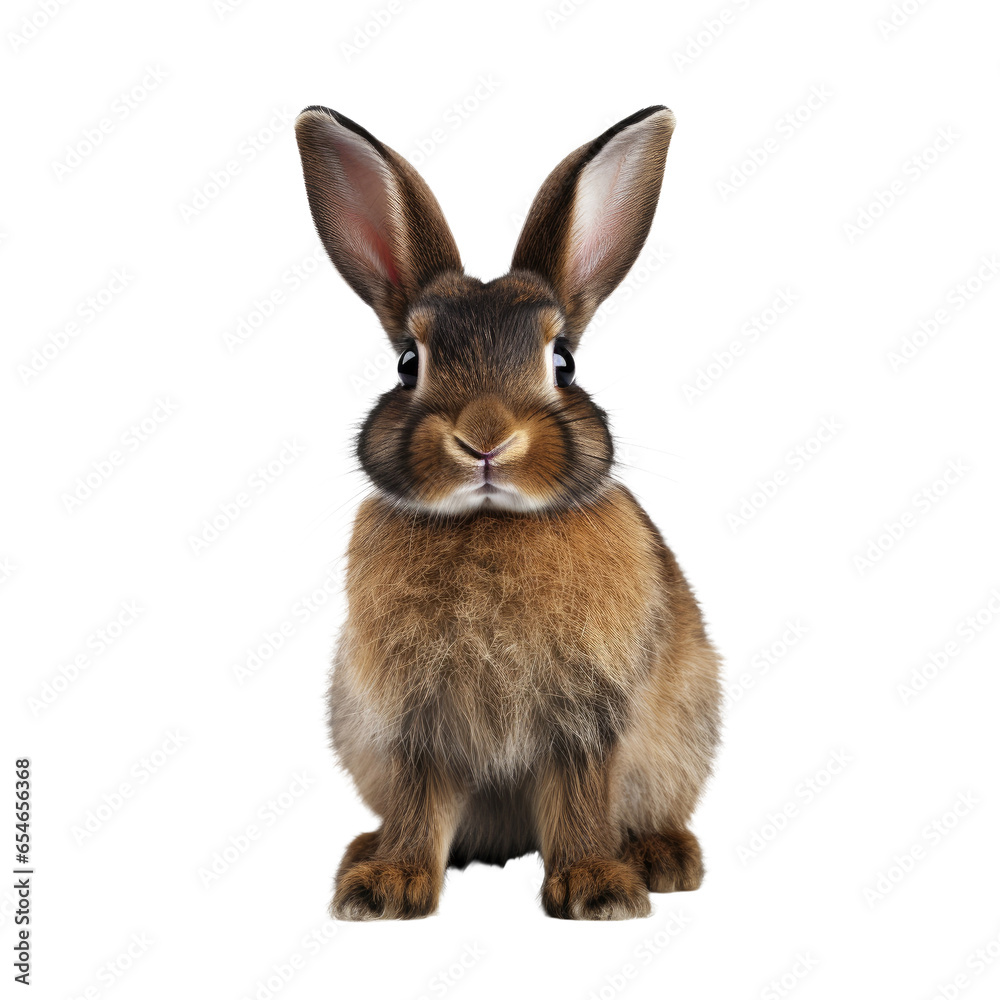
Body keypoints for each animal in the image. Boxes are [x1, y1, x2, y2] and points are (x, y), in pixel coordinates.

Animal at [294, 104, 721, 920]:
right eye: (408, 363)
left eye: (564, 364)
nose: (486, 439)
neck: (490, 524)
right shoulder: (414, 724)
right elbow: (420, 799)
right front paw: (386, 889)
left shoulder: (585, 716)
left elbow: (581, 796)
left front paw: (597, 889)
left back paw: (661, 858)